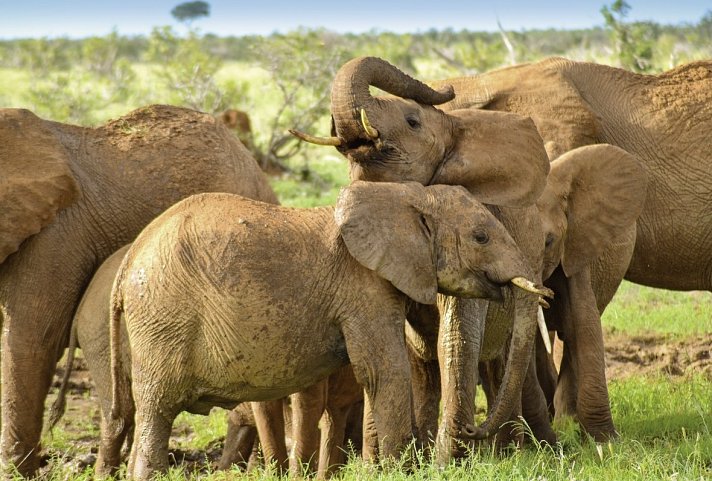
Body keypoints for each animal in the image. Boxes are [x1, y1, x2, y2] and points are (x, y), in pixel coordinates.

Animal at [107, 181, 552, 480]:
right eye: (481, 236)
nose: (474, 429)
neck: (404, 196)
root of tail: (127, 265)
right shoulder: (364, 287)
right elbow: (386, 372)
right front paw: (401, 470)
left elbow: (374, 376)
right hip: (162, 323)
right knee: (157, 411)